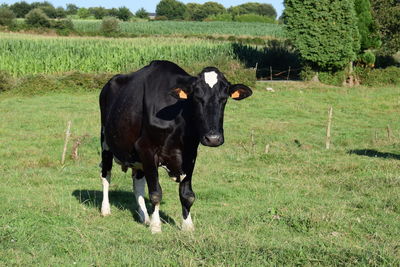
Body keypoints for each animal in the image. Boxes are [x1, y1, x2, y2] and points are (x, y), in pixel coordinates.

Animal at [99, 59, 250, 233]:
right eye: (196, 98)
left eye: (224, 99)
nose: (213, 138)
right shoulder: (146, 148)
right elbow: (155, 193)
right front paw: (156, 226)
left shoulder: (190, 153)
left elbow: (187, 195)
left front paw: (187, 226)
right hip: (105, 142)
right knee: (106, 175)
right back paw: (106, 209)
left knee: (138, 184)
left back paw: (144, 217)